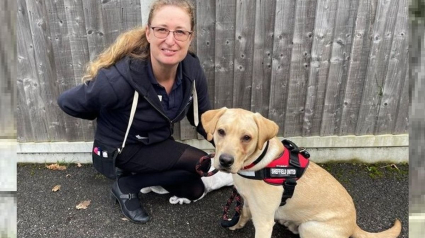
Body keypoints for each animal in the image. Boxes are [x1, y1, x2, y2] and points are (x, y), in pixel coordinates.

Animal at [202, 108, 400, 238]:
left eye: (247, 138)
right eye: (221, 131)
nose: (225, 161)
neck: (256, 164)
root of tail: (353, 225)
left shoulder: (264, 222)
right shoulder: (248, 202)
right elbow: (243, 213)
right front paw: (235, 224)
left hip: (311, 227)